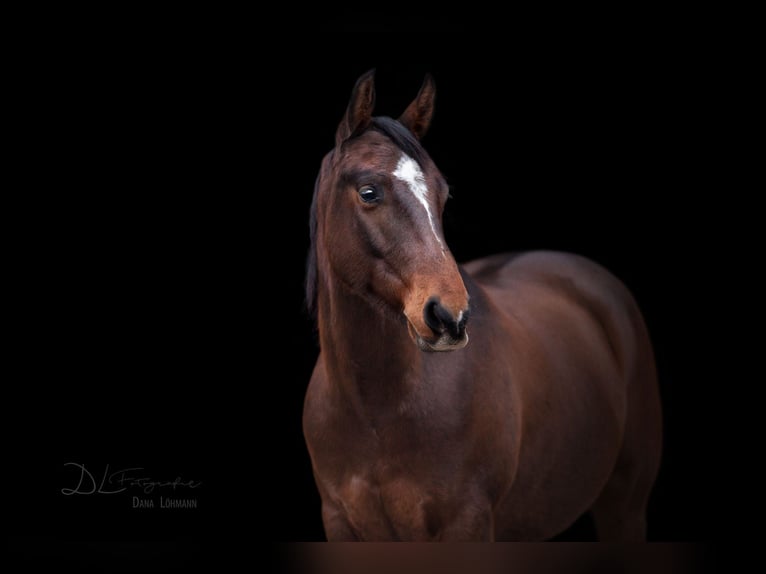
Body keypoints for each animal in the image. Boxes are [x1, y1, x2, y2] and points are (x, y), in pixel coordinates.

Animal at [302, 70, 662, 541]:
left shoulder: (467, 522)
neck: (375, 413)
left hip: (624, 508)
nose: (449, 317)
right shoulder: (339, 523)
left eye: (443, 195)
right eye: (368, 191)